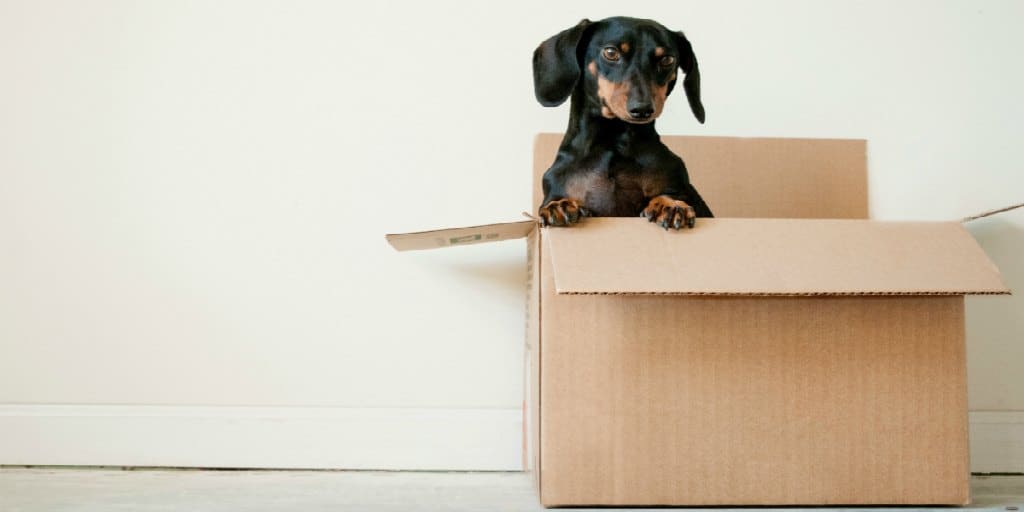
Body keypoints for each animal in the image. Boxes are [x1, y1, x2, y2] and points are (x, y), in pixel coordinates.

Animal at [536, 17, 712, 230]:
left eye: (667, 60)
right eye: (611, 52)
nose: (642, 109)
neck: (613, 141)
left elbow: (670, 195)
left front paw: (670, 204)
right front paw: (559, 205)